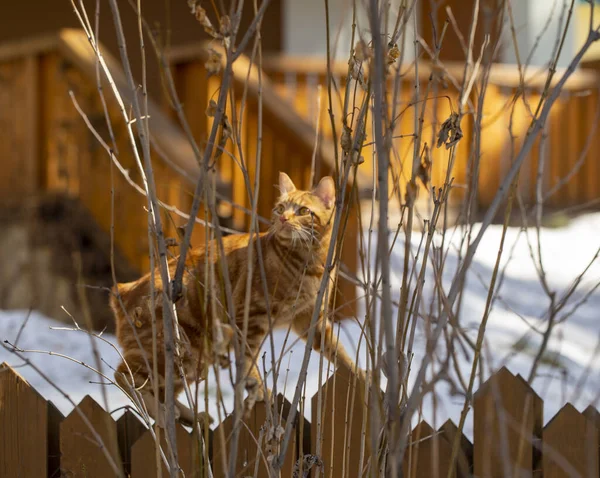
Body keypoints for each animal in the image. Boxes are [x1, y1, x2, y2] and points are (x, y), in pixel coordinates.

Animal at [109, 173, 356, 426]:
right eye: (280, 208)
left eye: (303, 211)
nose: (283, 218)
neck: (309, 262)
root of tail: (123, 289)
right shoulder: (250, 319)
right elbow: (248, 361)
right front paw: (259, 389)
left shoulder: (310, 320)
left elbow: (339, 352)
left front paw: (361, 377)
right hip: (172, 351)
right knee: (126, 376)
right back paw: (163, 415)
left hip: (194, 358)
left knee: (163, 390)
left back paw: (190, 416)